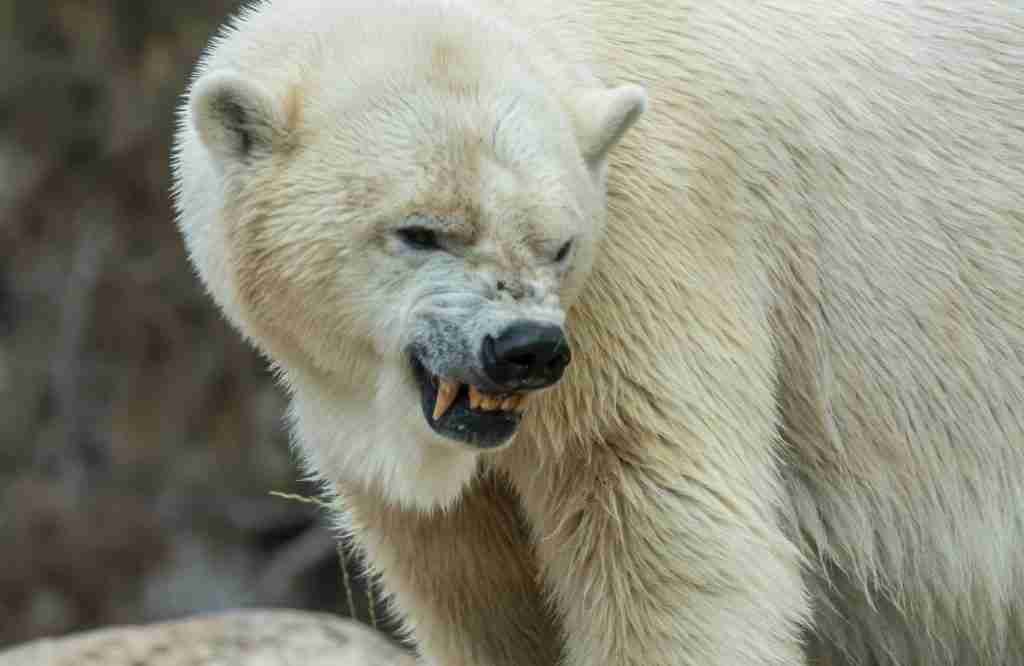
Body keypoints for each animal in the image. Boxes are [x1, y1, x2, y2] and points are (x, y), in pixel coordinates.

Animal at [174, 0, 1024, 659]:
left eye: (560, 243)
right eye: (421, 231)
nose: (523, 348)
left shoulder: (651, 253)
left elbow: (665, 538)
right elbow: (480, 594)